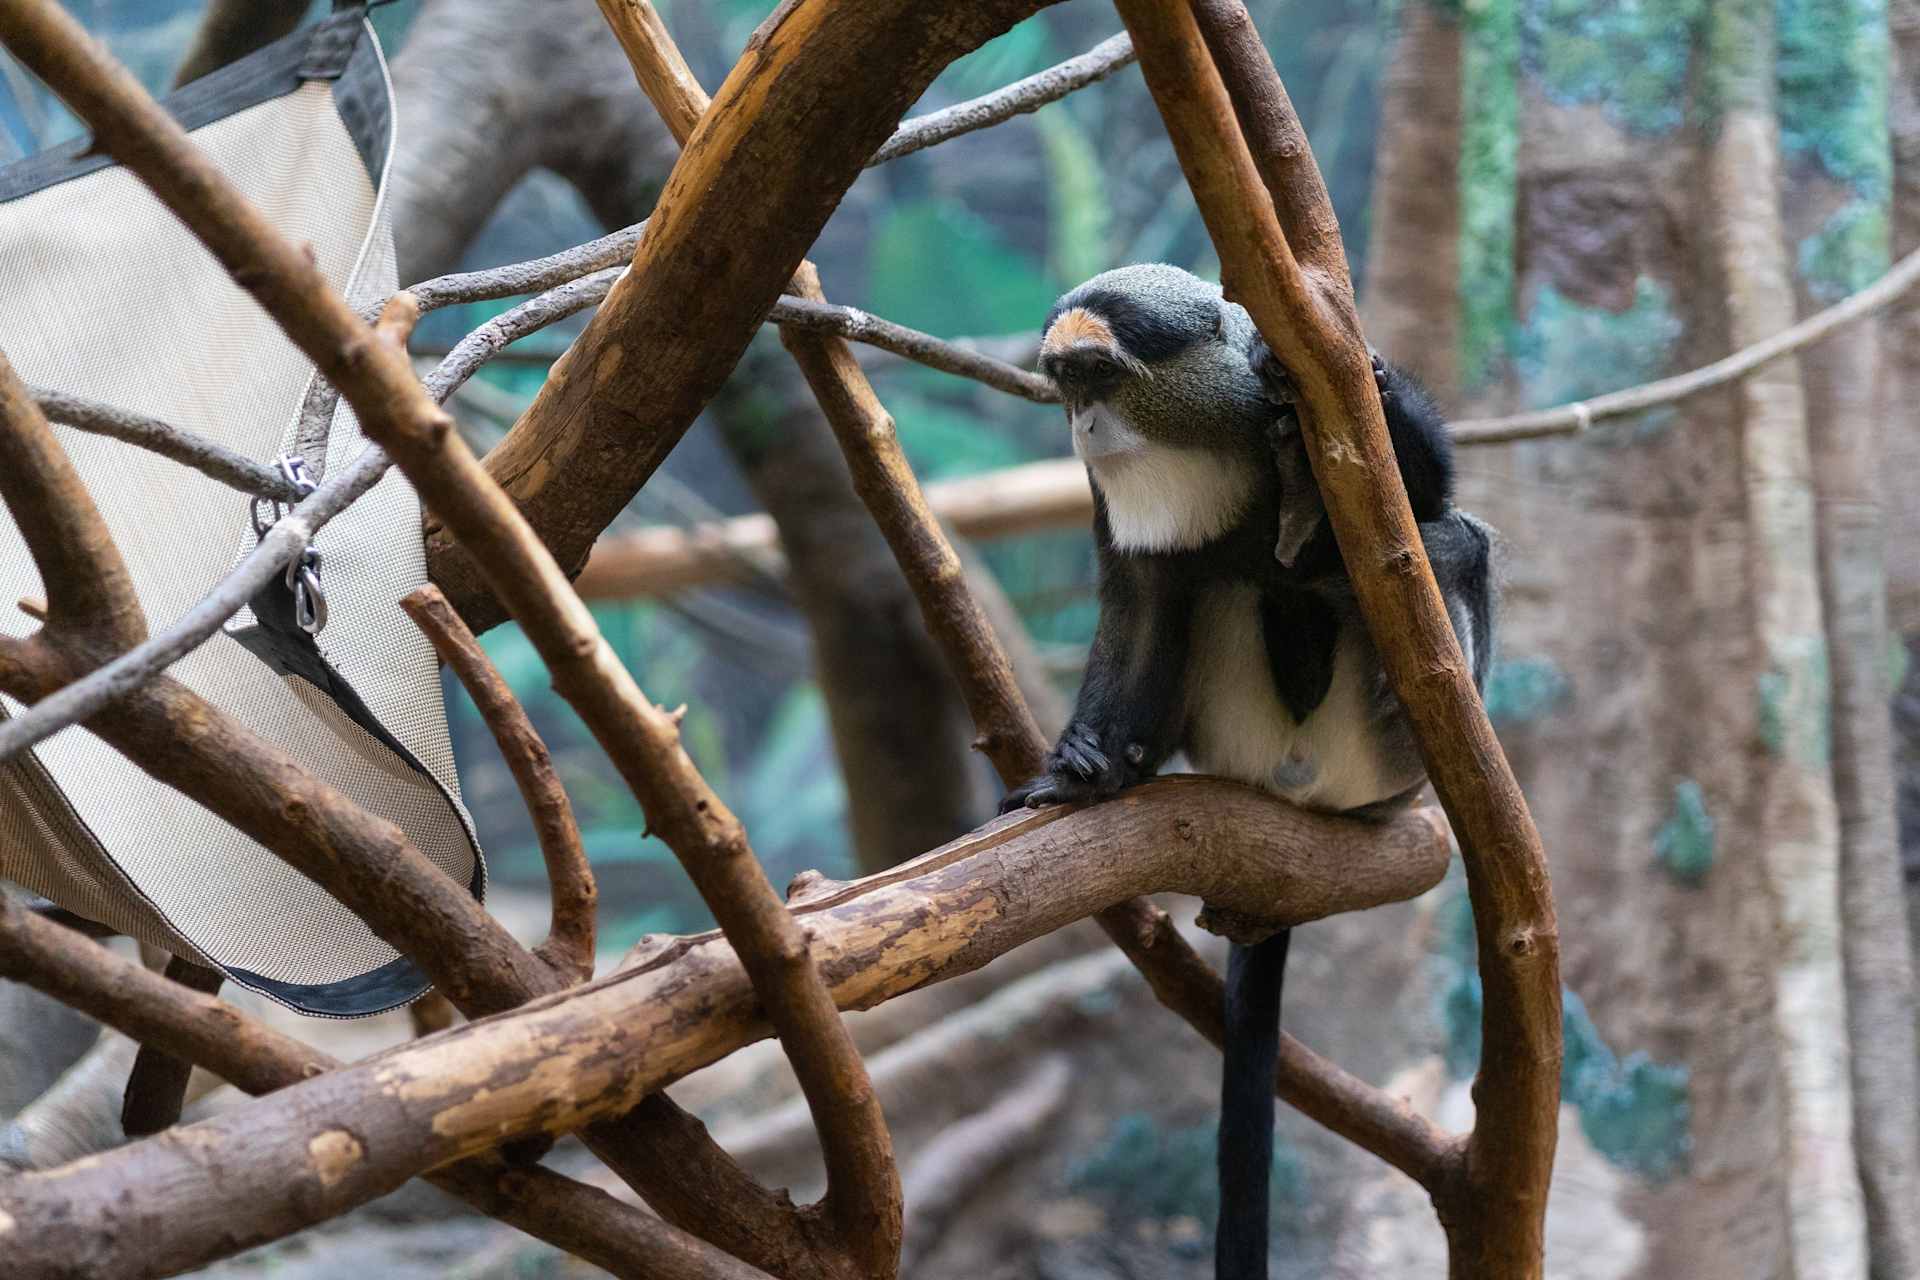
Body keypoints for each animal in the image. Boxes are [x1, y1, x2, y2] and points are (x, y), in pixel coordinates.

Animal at [1001, 263, 1496, 1280]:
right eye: (1064, 380)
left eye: (1100, 376)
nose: (1083, 427)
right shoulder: (1118, 517)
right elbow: (1146, 593)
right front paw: (1083, 769)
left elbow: (1422, 495)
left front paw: (1360, 381)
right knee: (1214, 582)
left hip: (1387, 772)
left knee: (1455, 539)